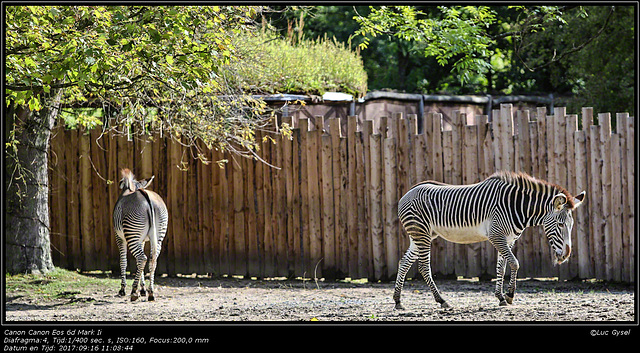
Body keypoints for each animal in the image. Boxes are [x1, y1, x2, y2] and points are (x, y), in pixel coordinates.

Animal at [113, 168, 169, 300]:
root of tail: (146, 195)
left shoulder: (119, 237)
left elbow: (123, 261)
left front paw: (122, 289)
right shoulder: (142, 240)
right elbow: (139, 266)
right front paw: (143, 289)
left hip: (131, 234)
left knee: (142, 258)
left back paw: (134, 291)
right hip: (157, 235)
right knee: (152, 259)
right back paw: (151, 292)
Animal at [392, 171, 584, 308]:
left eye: (572, 225)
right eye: (560, 225)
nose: (566, 255)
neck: (516, 206)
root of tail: (406, 194)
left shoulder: (508, 239)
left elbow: (502, 267)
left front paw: (500, 297)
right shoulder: (496, 235)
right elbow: (515, 263)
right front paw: (510, 295)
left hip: (420, 235)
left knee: (404, 262)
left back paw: (398, 301)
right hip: (421, 234)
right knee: (424, 267)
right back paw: (441, 300)